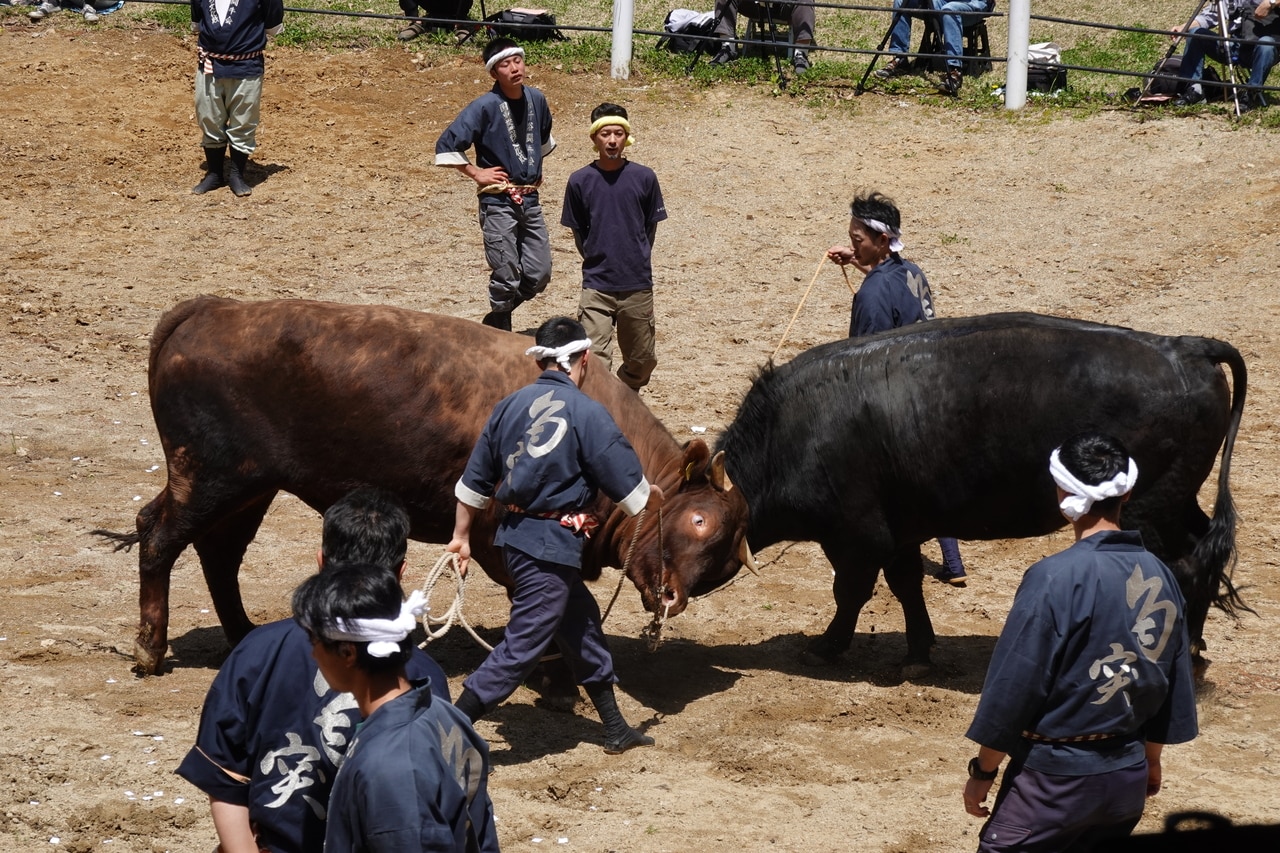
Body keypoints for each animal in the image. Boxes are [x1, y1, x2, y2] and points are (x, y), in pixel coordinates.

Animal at [716, 312, 1244, 666]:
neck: (787, 433)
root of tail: (1184, 347)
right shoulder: (901, 530)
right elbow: (906, 584)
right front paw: (919, 652)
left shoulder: (858, 536)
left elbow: (850, 591)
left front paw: (826, 646)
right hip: (1176, 500)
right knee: (1201, 551)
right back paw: (1193, 645)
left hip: (1148, 509)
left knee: (1181, 565)